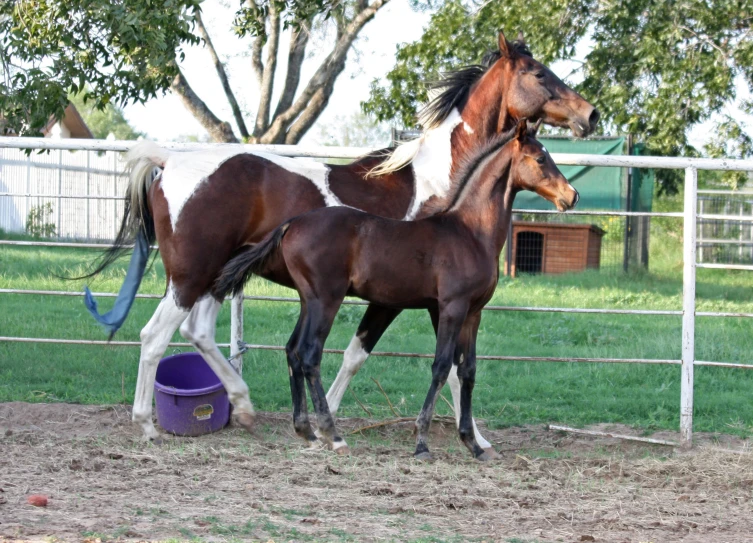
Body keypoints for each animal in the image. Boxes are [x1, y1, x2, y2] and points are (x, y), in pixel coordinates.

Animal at [214, 121, 580, 462]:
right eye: (540, 158)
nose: (571, 195)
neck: (470, 232)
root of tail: (293, 223)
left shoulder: (473, 313)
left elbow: (468, 370)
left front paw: (474, 445)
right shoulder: (451, 307)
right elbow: (441, 366)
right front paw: (422, 444)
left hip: (308, 300)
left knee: (292, 350)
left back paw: (307, 431)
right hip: (326, 299)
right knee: (308, 354)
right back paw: (334, 436)